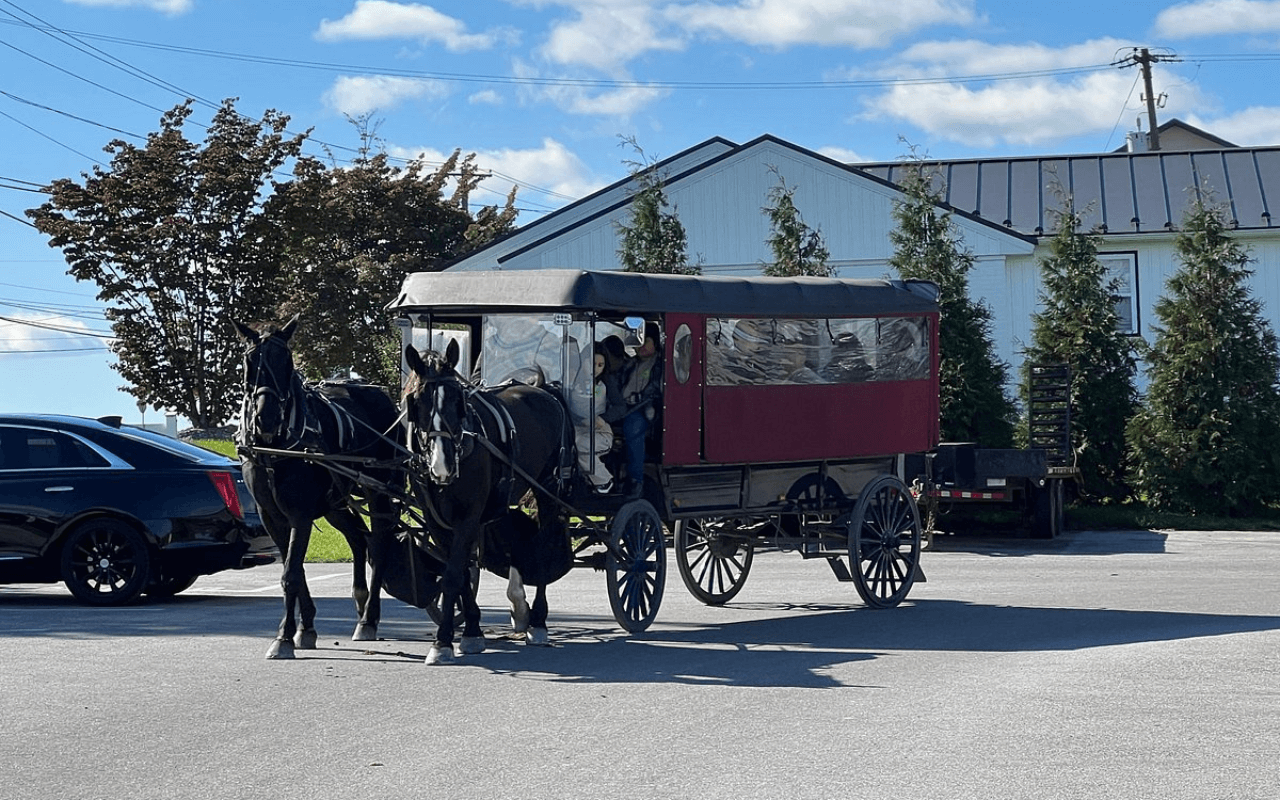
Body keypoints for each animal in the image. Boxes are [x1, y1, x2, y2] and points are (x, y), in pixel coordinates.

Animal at [234, 314, 404, 660]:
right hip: (335, 501)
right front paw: (305, 627)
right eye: (249, 360)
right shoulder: (272, 516)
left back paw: (368, 619)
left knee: (379, 542)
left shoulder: (299, 514)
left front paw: (284, 637)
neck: (276, 447)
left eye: (286, 360)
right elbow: (295, 570)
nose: (266, 417)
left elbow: (290, 572)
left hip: (379, 489)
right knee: (358, 538)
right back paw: (360, 598)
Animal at [404, 340, 570, 665]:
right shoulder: (436, 519)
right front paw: (471, 630)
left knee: (543, 549)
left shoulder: (468, 515)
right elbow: (459, 573)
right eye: (417, 401)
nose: (441, 466)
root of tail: (543, 390)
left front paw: (443, 643)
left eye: (457, 400)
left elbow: (453, 575)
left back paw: (538, 622)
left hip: (546, 489)